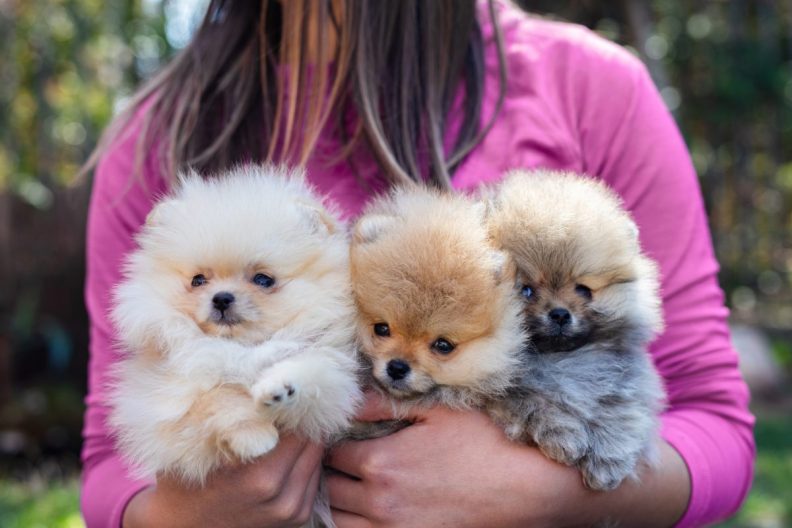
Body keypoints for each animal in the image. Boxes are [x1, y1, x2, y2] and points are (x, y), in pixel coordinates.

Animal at [486, 171, 664, 492]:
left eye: (583, 290)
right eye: (526, 290)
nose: (559, 313)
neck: (563, 360)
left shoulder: (626, 385)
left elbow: (621, 413)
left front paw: (607, 461)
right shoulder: (505, 392)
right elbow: (537, 403)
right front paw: (565, 437)